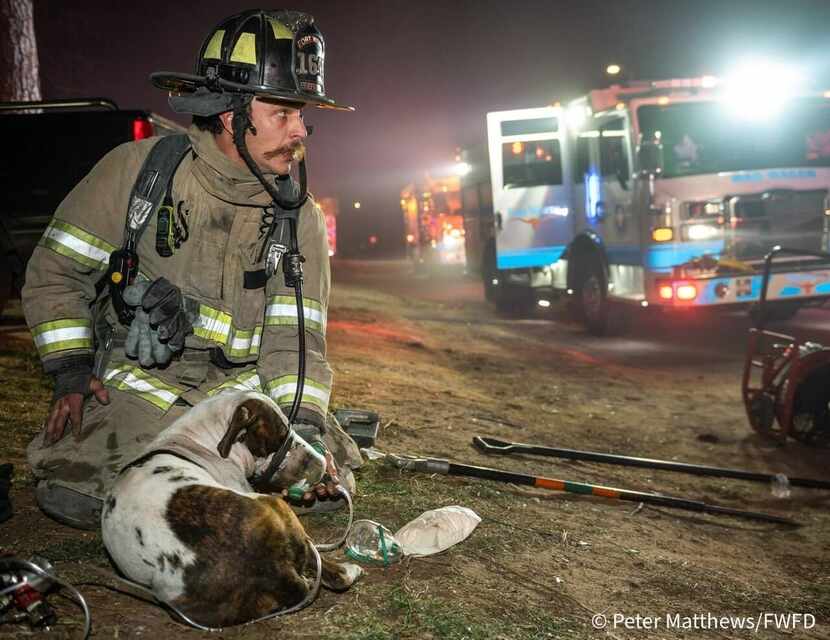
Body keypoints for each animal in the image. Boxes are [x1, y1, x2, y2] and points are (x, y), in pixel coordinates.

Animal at [101, 388, 360, 628]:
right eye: (281, 436)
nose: (321, 463)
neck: (197, 440)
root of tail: (272, 568)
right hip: (274, 505)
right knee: (324, 564)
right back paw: (348, 570)